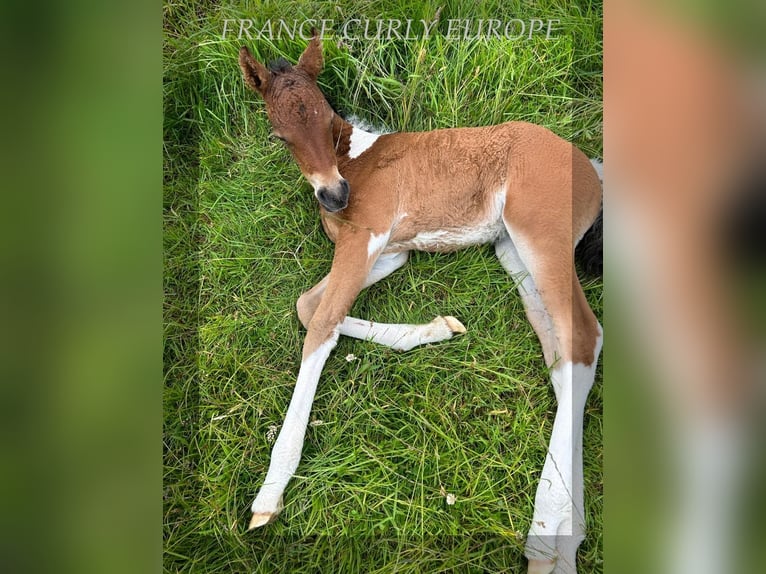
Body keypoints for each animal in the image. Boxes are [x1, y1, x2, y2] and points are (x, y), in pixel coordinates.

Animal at [237, 36, 604, 574]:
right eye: (280, 135)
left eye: (326, 118)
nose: (334, 196)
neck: (353, 162)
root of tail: (592, 168)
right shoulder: (390, 252)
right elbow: (311, 308)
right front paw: (436, 329)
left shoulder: (367, 238)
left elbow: (321, 322)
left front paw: (270, 491)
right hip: (513, 251)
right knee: (562, 361)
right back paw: (563, 542)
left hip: (541, 237)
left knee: (584, 336)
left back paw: (544, 529)